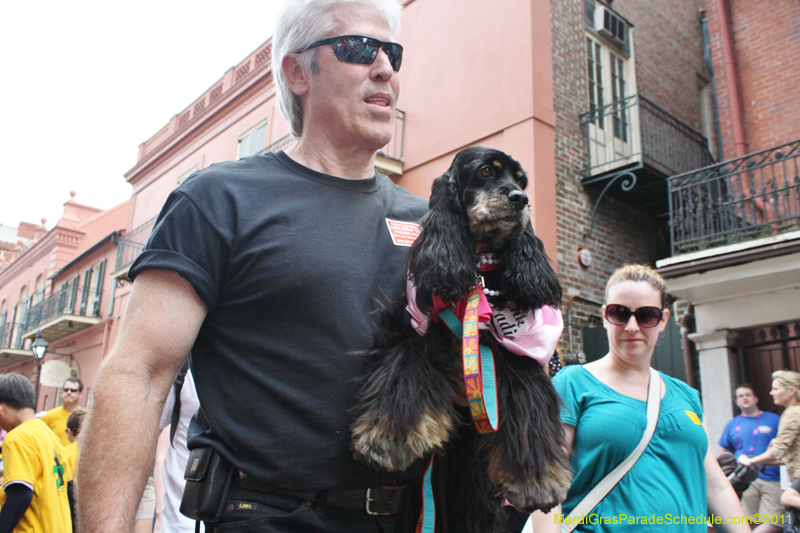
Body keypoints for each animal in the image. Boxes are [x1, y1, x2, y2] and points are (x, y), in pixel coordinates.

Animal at [354, 147, 572, 532]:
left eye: (521, 180)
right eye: (485, 172)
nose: (520, 199)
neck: (479, 266)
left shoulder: (520, 352)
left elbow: (528, 409)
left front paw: (537, 481)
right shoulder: (414, 325)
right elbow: (404, 370)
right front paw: (390, 439)